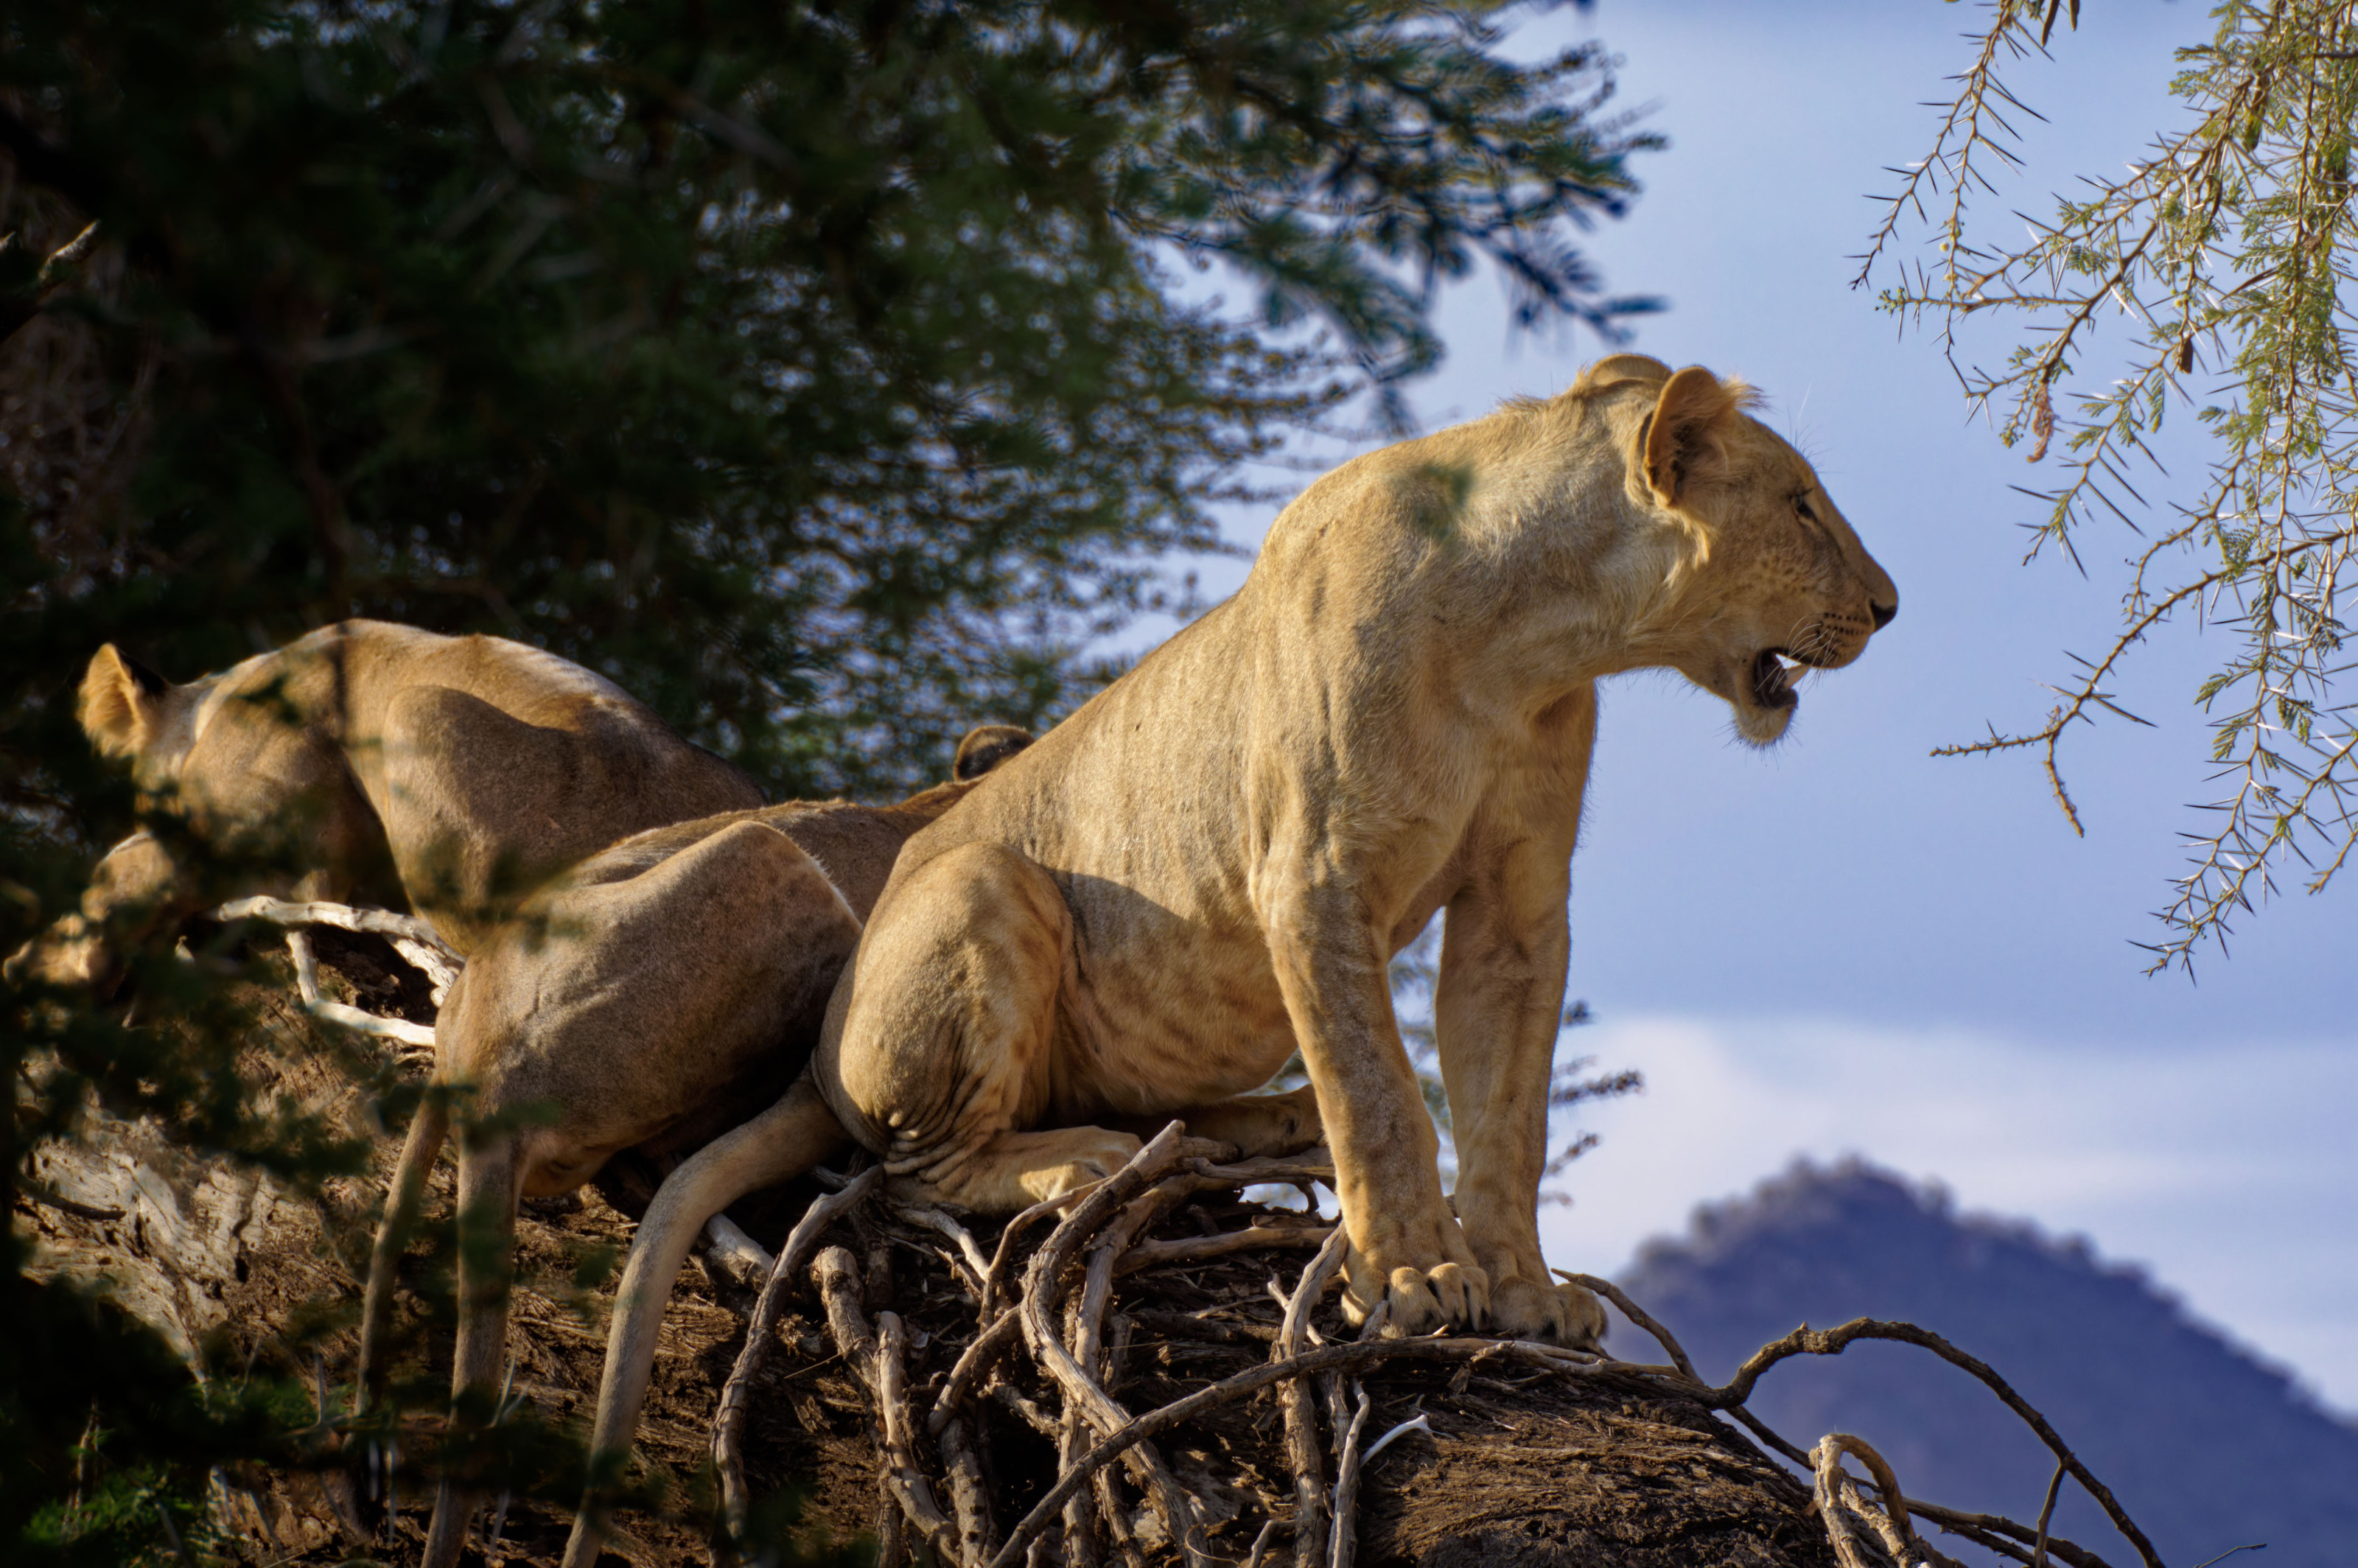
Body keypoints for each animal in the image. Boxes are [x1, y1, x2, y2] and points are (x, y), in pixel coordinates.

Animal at [560, 356, 1896, 1566]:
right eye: (1802, 506)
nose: (1889, 606)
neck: (1537, 639)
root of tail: (815, 1049)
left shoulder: (1519, 910)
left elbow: (1506, 1113)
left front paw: (1522, 1292)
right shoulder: (1312, 879)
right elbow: (1383, 1095)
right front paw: (1416, 1277)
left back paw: (1233, 1134)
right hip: (986, 887)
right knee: (906, 1169)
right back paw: (1083, 1160)